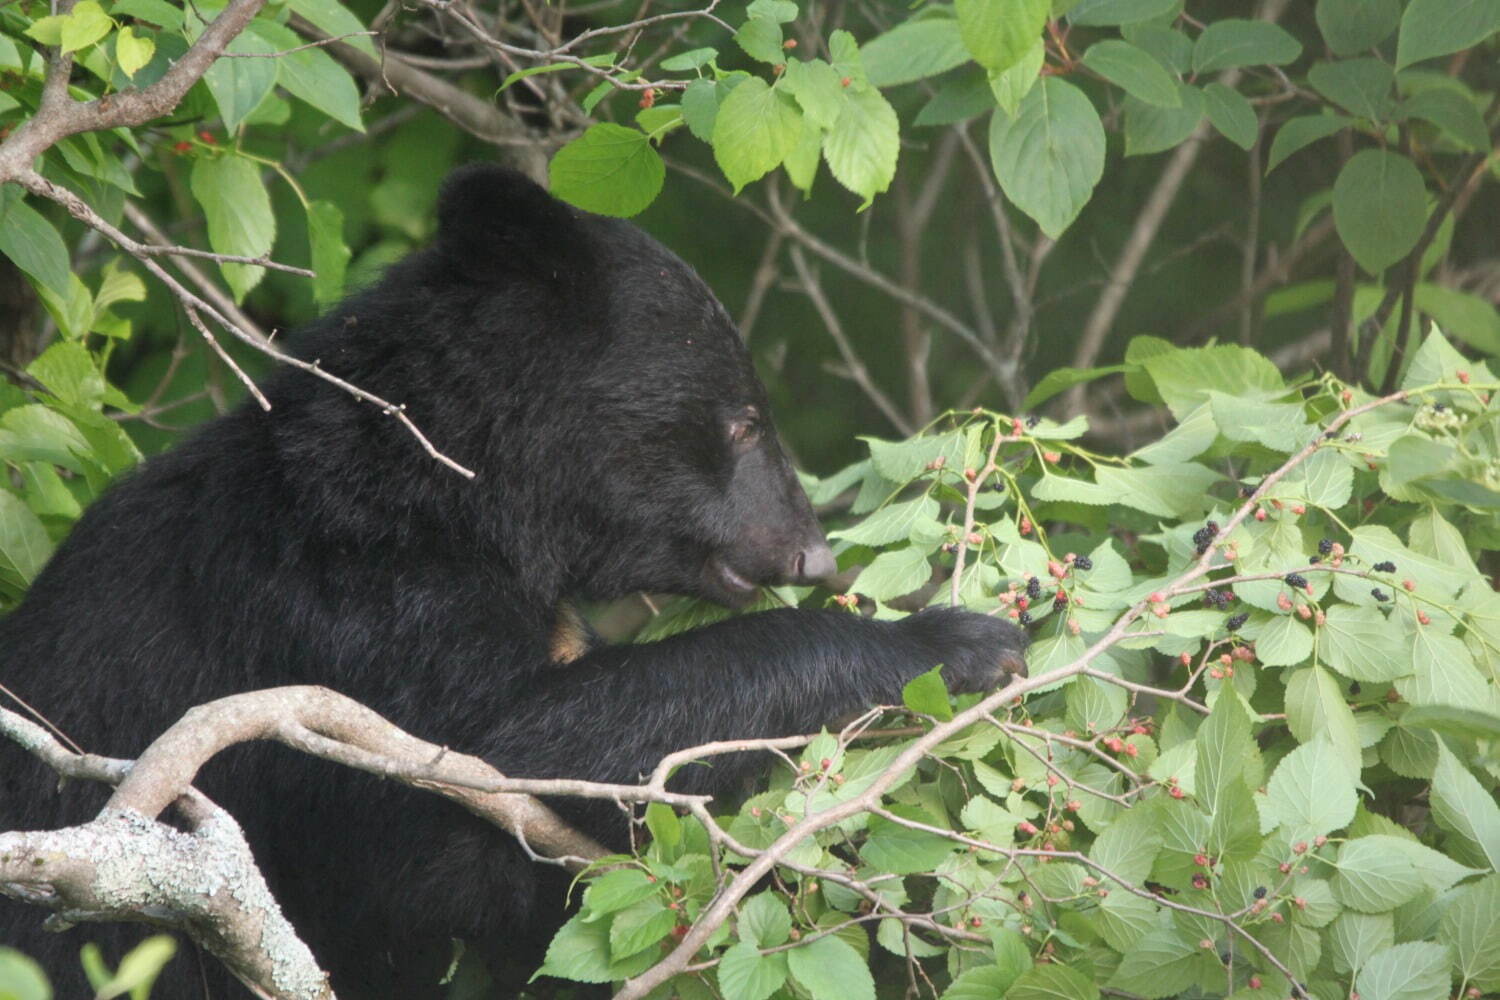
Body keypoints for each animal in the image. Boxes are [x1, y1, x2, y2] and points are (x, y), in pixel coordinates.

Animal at [0, 166, 1026, 1000]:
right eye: (742, 419)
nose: (812, 554)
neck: (450, 497)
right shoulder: (349, 609)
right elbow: (498, 759)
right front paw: (956, 642)